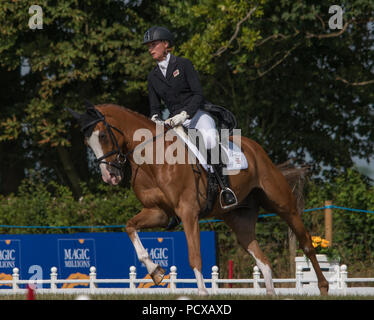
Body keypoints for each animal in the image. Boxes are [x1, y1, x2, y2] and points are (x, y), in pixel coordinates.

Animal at [68, 102, 328, 296]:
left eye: (103, 135)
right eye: (87, 142)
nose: (109, 176)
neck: (154, 160)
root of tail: (258, 150)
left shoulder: (188, 212)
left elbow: (195, 256)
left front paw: (202, 293)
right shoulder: (159, 212)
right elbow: (130, 227)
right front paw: (156, 271)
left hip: (283, 205)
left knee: (306, 243)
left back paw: (324, 287)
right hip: (238, 219)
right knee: (262, 259)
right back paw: (272, 293)